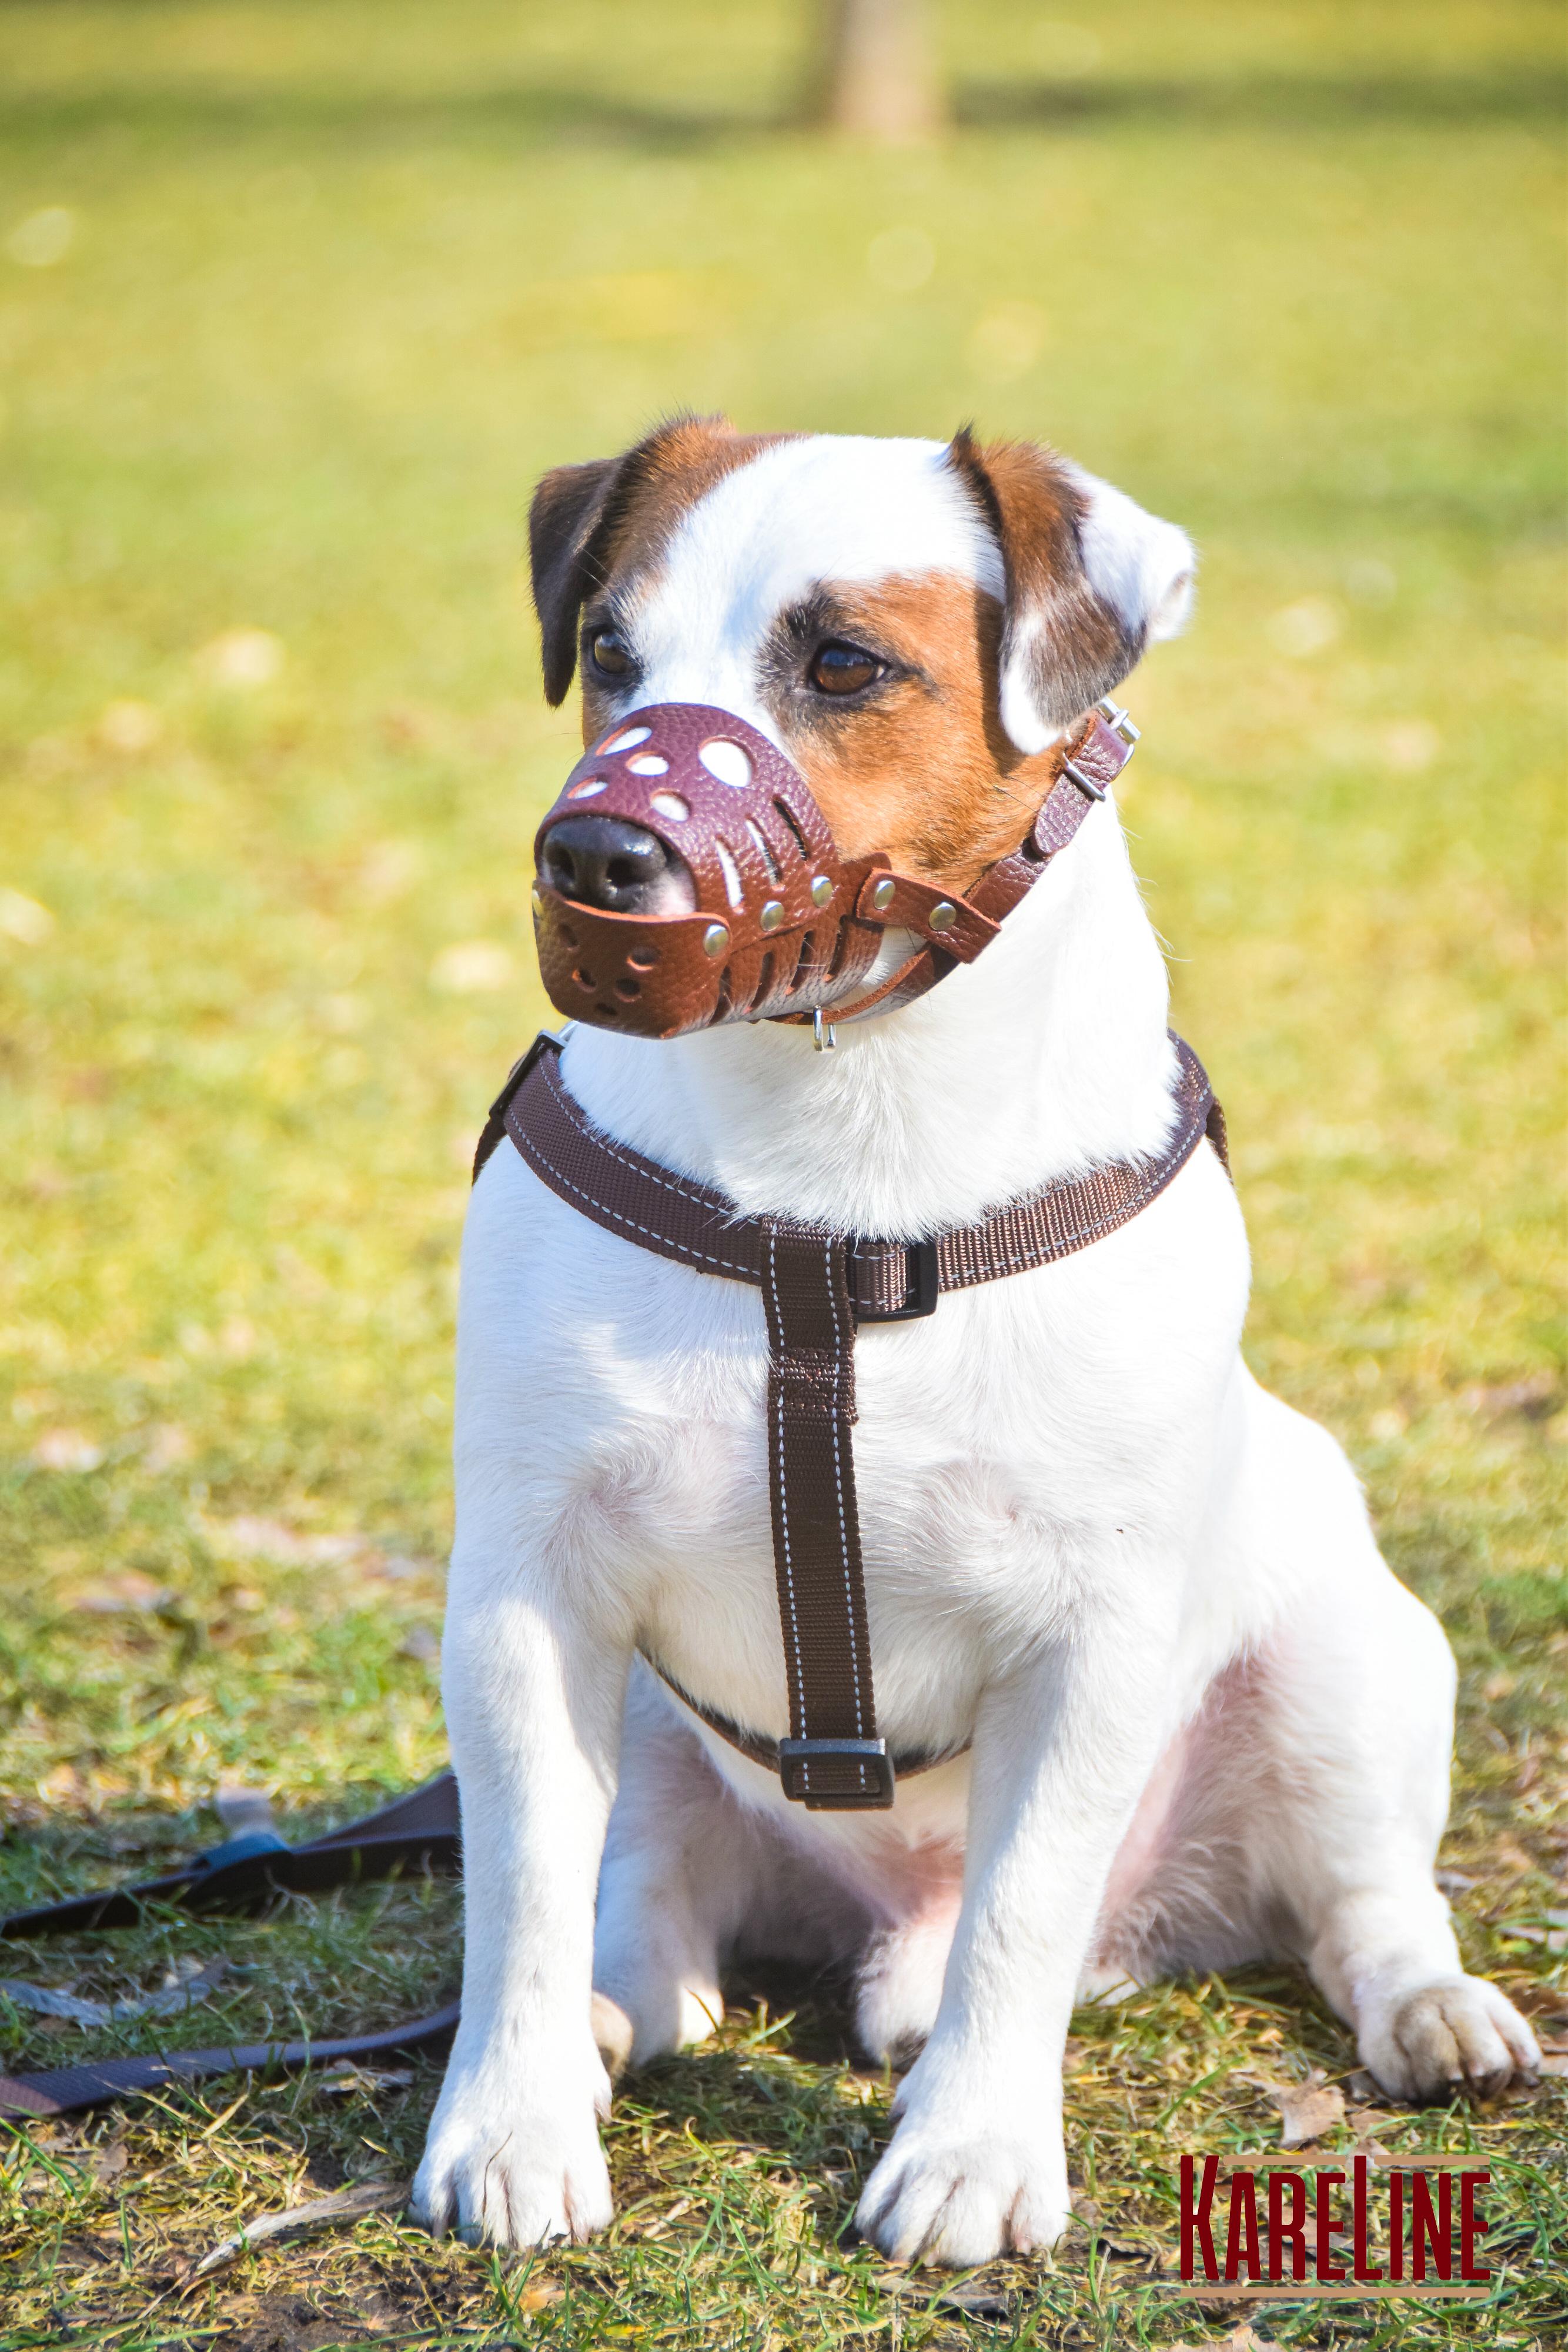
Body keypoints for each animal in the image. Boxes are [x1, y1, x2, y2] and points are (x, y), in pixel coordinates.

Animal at [409, 419, 1542, 2258]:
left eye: (844, 665)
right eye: (609, 655)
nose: (591, 862)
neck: (840, 1166)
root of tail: (888, 1921)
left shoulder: (1088, 1641)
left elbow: (1025, 1914)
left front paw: (974, 2152)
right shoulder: (526, 1594)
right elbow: (518, 1890)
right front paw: (511, 2120)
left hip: (1348, 1660)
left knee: (1356, 1902)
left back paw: (1433, 2012)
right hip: (647, 1722)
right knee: (645, 1904)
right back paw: (612, 2012)